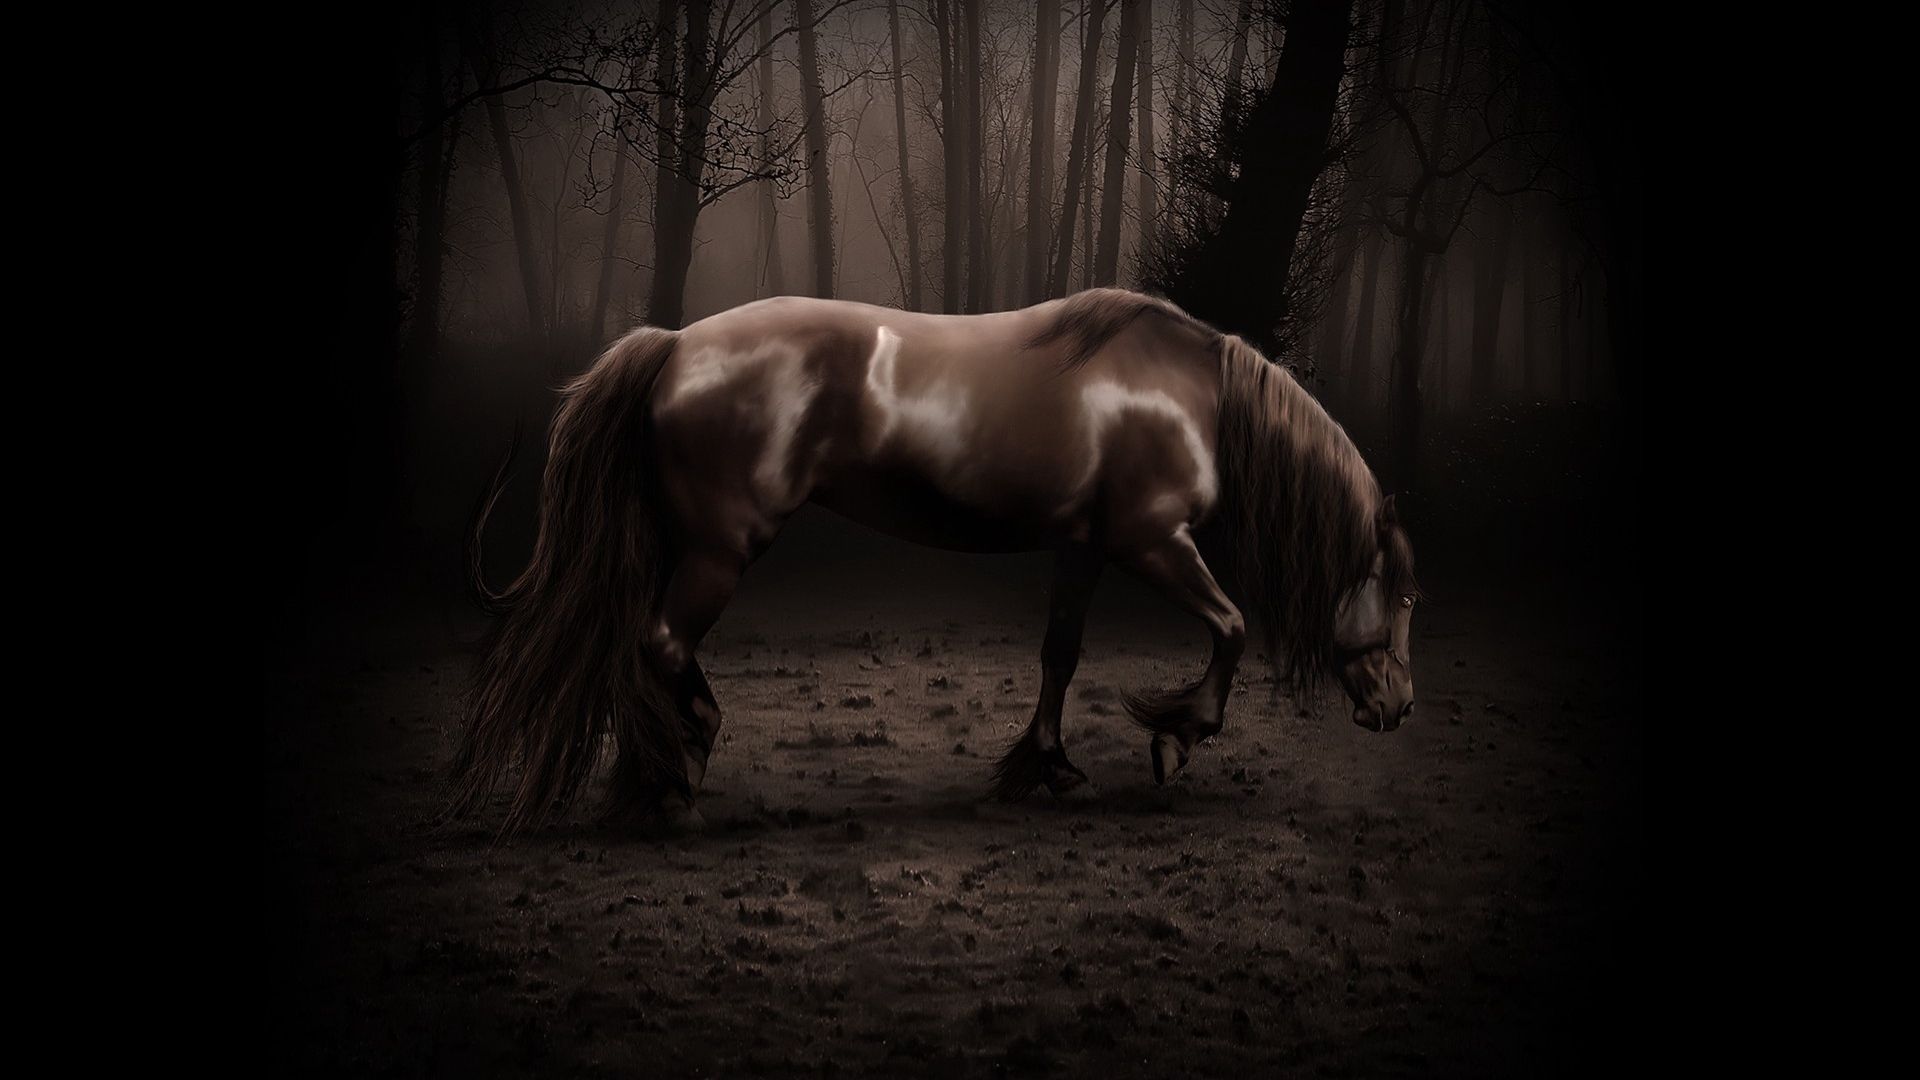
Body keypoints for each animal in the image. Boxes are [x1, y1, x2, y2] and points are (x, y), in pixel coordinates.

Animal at [454, 288, 1419, 833]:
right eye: (1405, 598)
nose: (1399, 707)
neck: (1189, 393)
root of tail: (675, 345)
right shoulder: (1151, 541)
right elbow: (1230, 626)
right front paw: (1177, 741)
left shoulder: (1086, 547)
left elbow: (1060, 656)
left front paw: (1046, 768)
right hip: (722, 548)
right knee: (658, 643)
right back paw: (676, 780)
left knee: (645, 645)